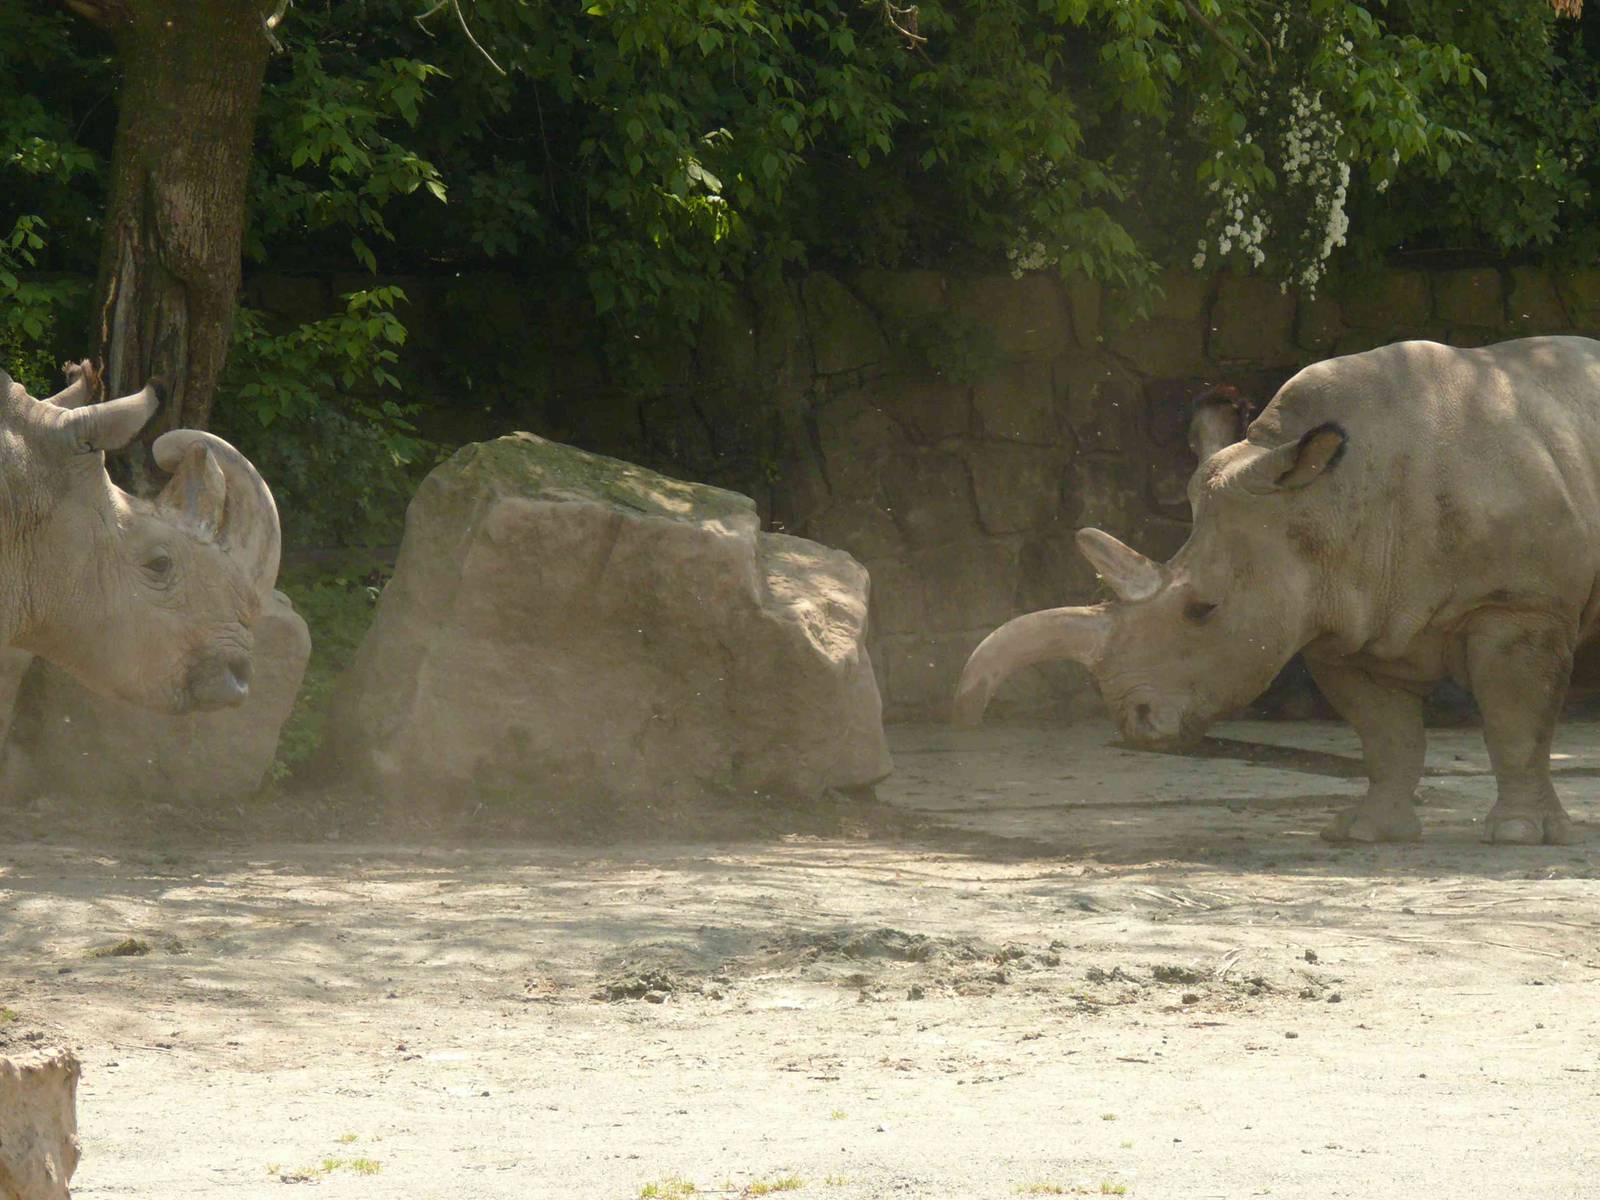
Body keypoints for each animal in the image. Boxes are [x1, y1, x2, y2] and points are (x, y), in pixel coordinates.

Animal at [954, 336, 1600, 846]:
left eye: (1202, 610)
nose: (1134, 723)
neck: (1321, 505)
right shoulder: (1346, 620)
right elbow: (1386, 735)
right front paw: (1365, 832)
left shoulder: (1520, 603)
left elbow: (1515, 721)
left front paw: (1517, 835)